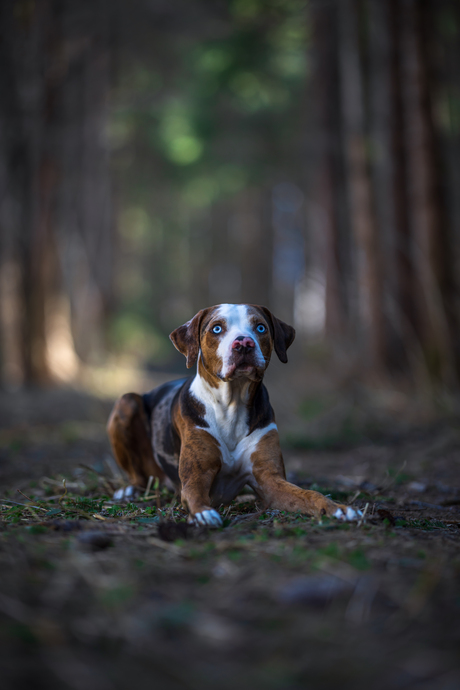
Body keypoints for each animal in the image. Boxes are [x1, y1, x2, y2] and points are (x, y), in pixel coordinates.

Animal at [107, 304, 360, 524]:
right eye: (217, 328)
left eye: (260, 327)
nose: (244, 344)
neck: (232, 405)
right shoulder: (196, 476)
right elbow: (194, 495)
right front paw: (203, 513)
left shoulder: (270, 480)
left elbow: (310, 494)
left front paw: (339, 508)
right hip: (126, 402)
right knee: (138, 475)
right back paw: (129, 490)